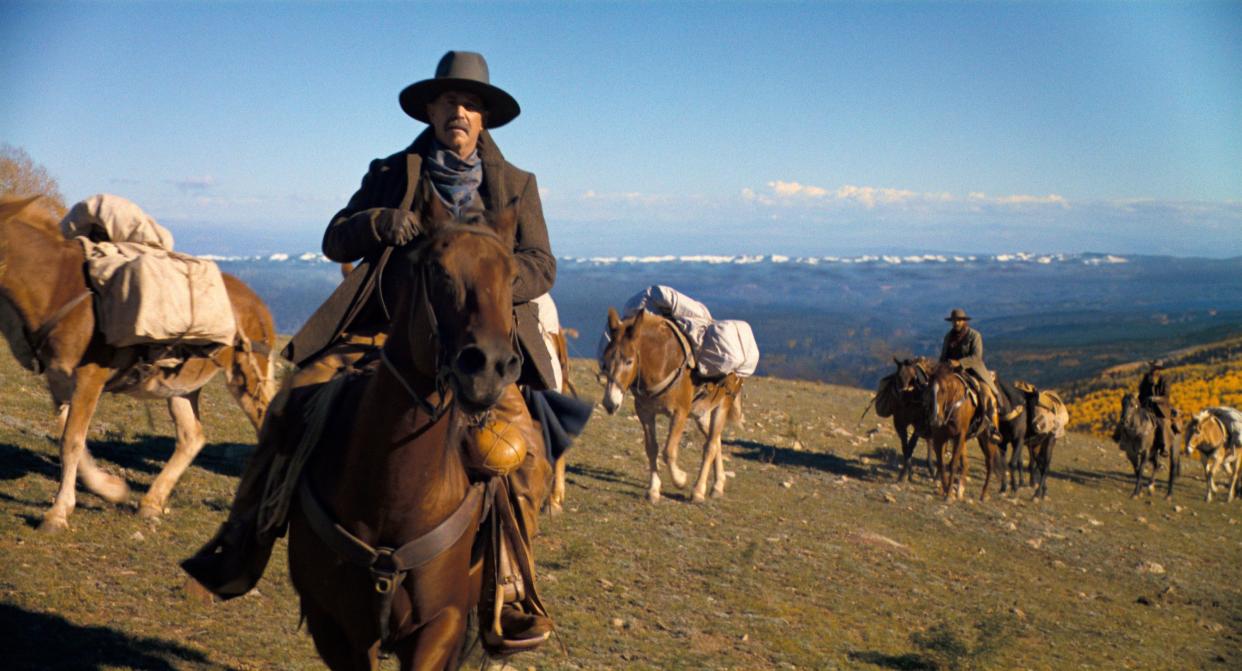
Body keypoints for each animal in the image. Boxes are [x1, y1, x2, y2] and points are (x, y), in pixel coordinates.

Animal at [0, 193, 276, 529]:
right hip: (181, 386)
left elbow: (71, 441)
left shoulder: (90, 377)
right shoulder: (59, 380)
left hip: (245, 377)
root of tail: (258, 304)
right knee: (191, 437)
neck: (56, 288)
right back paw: (151, 503)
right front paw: (110, 489)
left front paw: (57, 512)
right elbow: (72, 439)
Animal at [288, 205, 536, 671]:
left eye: (513, 276)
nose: (489, 368)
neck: (394, 496)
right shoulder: (334, 627)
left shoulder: (443, 624)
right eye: (437, 269)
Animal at [598, 309, 740, 502]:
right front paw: (653, 490)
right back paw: (718, 485)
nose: (610, 403)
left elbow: (669, 451)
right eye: (605, 361)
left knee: (710, 446)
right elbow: (652, 448)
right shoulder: (645, 412)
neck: (662, 362)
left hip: (722, 405)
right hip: (701, 413)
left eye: (629, 361)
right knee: (716, 441)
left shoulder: (680, 413)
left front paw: (681, 479)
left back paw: (699, 491)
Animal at [924, 365, 998, 499]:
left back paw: (983, 494)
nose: (936, 420)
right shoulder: (939, 438)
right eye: (929, 390)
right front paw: (945, 489)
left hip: (987, 439)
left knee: (989, 464)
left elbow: (953, 464)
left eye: (944, 390)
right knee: (966, 464)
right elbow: (941, 464)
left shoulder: (959, 436)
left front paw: (948, 494)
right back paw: (960, 490)